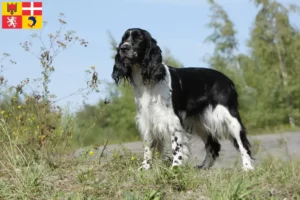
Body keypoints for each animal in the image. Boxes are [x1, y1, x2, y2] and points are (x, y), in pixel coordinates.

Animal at [111, 28, 254, 171]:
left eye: (139, 38)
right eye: (124, 39)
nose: (123, 48)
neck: (148, 80)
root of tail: (228, 80)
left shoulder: (172, 119)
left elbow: (177, 146)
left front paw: (175, 166)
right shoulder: (147, 119)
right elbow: (148, 147)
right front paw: (145, 167)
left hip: (230, 118)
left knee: (243, 143)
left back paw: (247, 167)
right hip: (200, 122)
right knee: (213, 146)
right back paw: (203, 166)